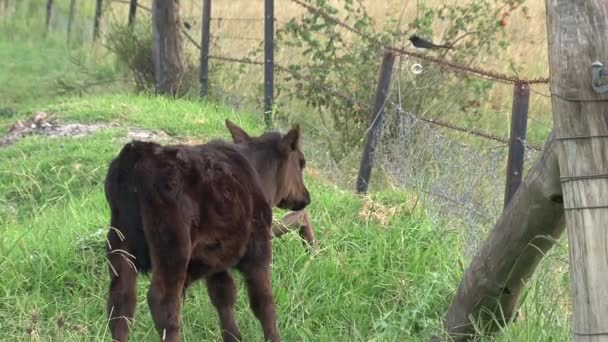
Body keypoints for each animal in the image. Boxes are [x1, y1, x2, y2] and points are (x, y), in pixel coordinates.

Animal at [103, 119, 308, 340]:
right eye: (301, 162)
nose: (306, 197)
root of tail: (139, 154)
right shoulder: (258, 250)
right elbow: (264, 302)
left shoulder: (217, 258)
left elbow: (224, 295)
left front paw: (233, 336)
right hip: (173, 245)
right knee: (163, 303)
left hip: (118, 240)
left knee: (121, 301)